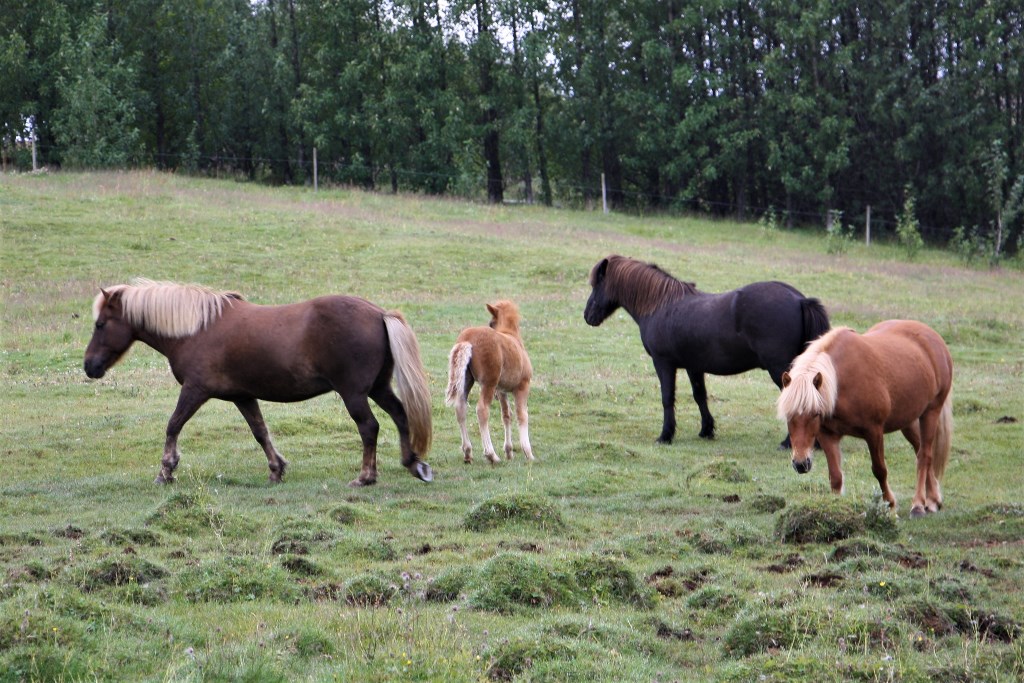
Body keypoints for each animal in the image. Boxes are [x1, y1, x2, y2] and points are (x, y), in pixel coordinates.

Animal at [81, 280, 430, 489]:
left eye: (101, 324)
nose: (89, 366)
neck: (197, 329)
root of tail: (379, 313)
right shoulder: (243, 396)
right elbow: (260, 432)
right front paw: (276, 469)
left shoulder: (195, 391)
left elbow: (173, 425)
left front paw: (166, 470)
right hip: (378, 388)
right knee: (400, 416)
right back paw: (413, 463)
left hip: (354, 394)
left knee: (369, 427)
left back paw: (366, 476)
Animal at [444, 301, 536, 464]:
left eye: (491, 323)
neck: (512, 337)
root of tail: (467, 339)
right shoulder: (522, 386)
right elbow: (522, 415)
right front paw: (528, 452)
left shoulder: (501, 390)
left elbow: (506, 415)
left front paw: (509, 452)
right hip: (488, 383)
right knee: (482, 410)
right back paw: (491, 454)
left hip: (467, 380)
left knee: (460, 407)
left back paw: (468, 452)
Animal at [585, 254, 831, 444]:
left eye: (596, 284)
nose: (587, 316)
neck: (661, 305)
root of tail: (799, 300)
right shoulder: (694, 366)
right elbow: (699, 396)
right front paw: (706, 430)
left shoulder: (663, 363)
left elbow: (667, 397)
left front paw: (665, 435)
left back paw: (789, 443)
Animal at [778, 321, 954, 518]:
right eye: (788, 415)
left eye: (815, 413)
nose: (801, 464)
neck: (841, 383)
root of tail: (934, 338)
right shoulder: (827, 435)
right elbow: (835, 476)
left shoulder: (874, 432)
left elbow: (880, 470)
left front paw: (890, 505)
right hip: (908, 421)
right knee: (920, 450)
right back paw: (933, 500)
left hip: (931, 412)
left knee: (924, 456)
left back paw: (918, 505)